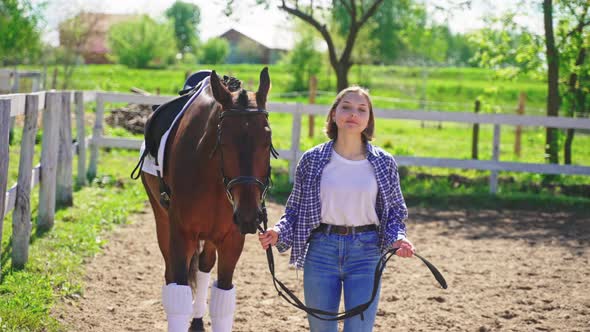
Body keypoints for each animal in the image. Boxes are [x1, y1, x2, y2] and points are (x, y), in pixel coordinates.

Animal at [141, 68, 276, 332]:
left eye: (267, 141)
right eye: (223, 142)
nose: (248, 216)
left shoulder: (232, 240)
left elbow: (222, 299)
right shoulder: (181, 235)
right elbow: (179, 296)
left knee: (204, 265)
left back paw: (197, 320)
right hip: (162, 221)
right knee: (170, 274)